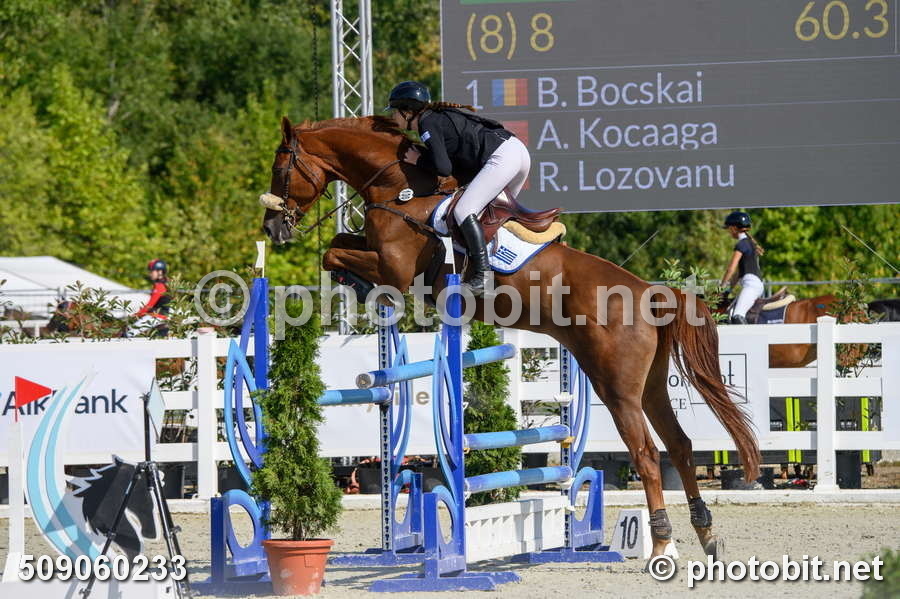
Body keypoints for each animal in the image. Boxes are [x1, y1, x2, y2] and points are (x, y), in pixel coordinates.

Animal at [260, 115, 760, 560]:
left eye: (280, 168)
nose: (272, 229)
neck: (399, 190)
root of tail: (649, 292)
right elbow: (339, 244)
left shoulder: (394, 269)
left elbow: (332, 253)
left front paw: (359, 285)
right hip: (651, 384)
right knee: (680, 446)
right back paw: (706, 535)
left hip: (617, 388)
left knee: (648, 455)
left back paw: (663, 543)